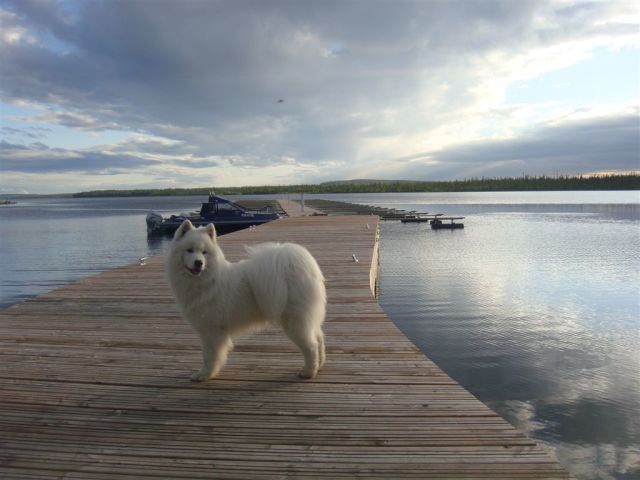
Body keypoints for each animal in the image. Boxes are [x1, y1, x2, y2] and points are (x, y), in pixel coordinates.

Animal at [166, 220, 324, 382]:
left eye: (204, 253)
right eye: (189, 250)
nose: (198, 262)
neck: (205, 281)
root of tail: (295, 266)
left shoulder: (212, 330)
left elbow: (209, 356)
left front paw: (204, 374)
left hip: (294, 321)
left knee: (310, 346)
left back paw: (308, 372)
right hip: (307, 319)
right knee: (319, 338)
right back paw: (320, 364)